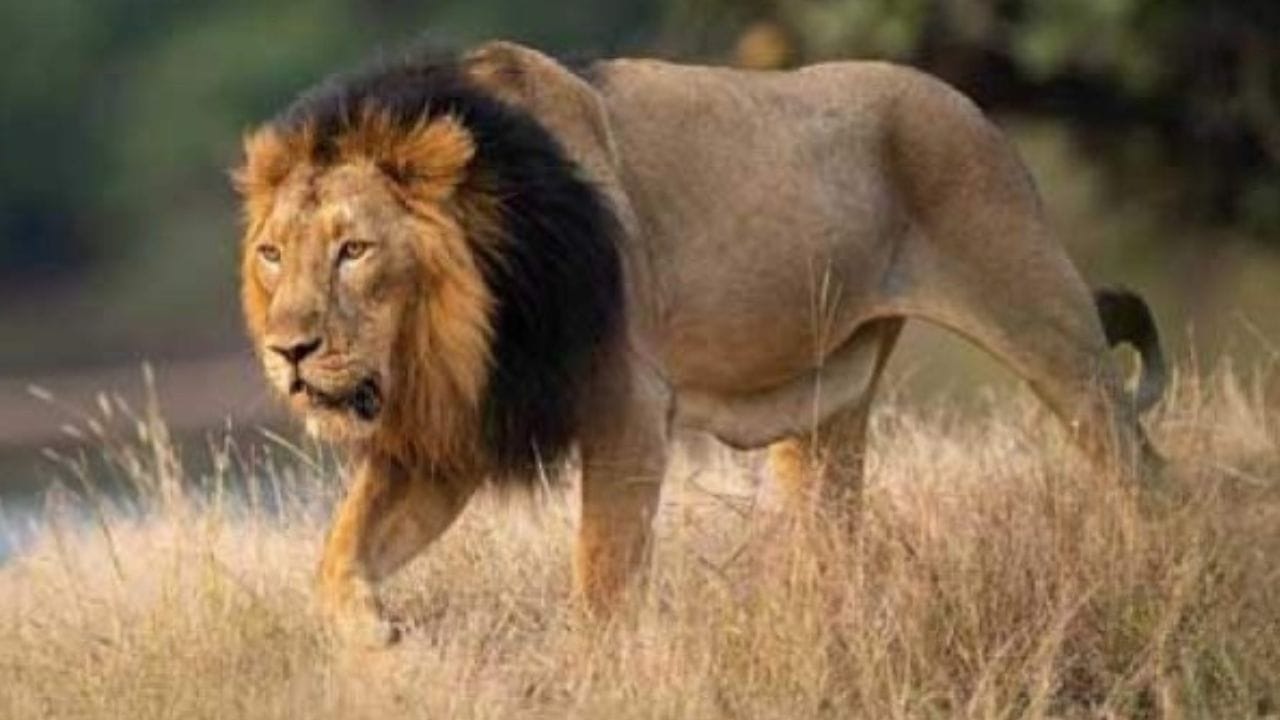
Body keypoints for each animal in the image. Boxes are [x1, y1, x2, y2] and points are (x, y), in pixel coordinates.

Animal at [234, 41, 1165, 641]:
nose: (290, 352)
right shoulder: (454, 434)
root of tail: (967, 104)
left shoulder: (627, 410)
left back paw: (1157, 571)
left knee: (1143, 470)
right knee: (836, 535)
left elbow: (603, 580)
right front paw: (378, 638)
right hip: (828, 410)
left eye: (355, 250)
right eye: (273, 255)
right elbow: (338, 556)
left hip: (1045, 321)